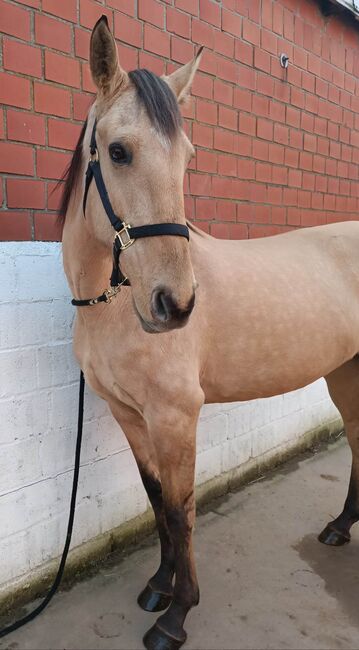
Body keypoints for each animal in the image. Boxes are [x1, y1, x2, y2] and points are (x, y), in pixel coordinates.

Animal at [61, 15, 359, 648]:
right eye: (118, 151)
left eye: (188, 157)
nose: (174, 305)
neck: (111, 306)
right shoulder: (129, 414)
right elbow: (156, 501)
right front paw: (158, 586)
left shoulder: (176, 416)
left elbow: (182, 510)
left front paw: (176, 614)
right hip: (346, 374)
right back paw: (340, 526)